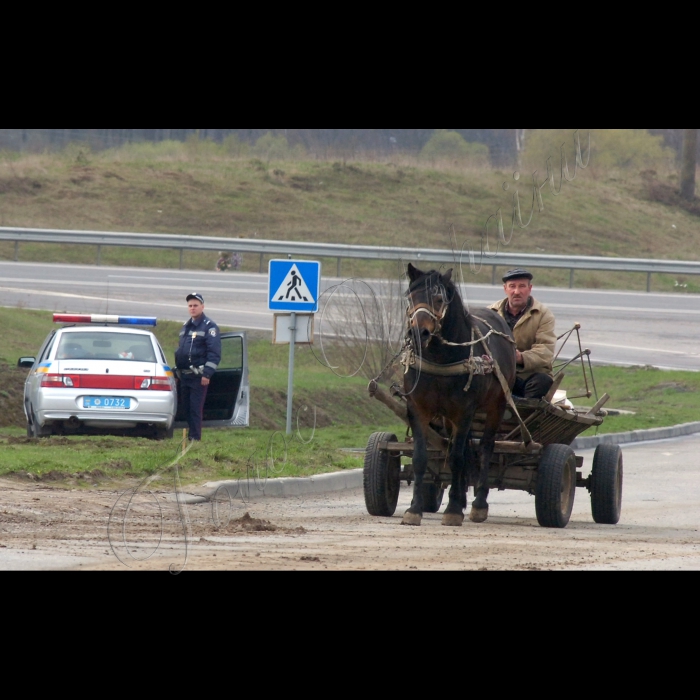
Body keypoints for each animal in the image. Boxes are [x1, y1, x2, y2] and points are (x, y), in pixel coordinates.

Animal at [402, 266, 516, 528]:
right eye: (410, 297)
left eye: (439, 298)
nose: (418, 333)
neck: (440, 357)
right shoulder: (418, 409)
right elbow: (421, 457)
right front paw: (414, 509)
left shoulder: (464, 411)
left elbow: (456, 458)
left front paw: (453, 510)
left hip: (496, 406)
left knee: (485, 447)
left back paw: (478, 504)